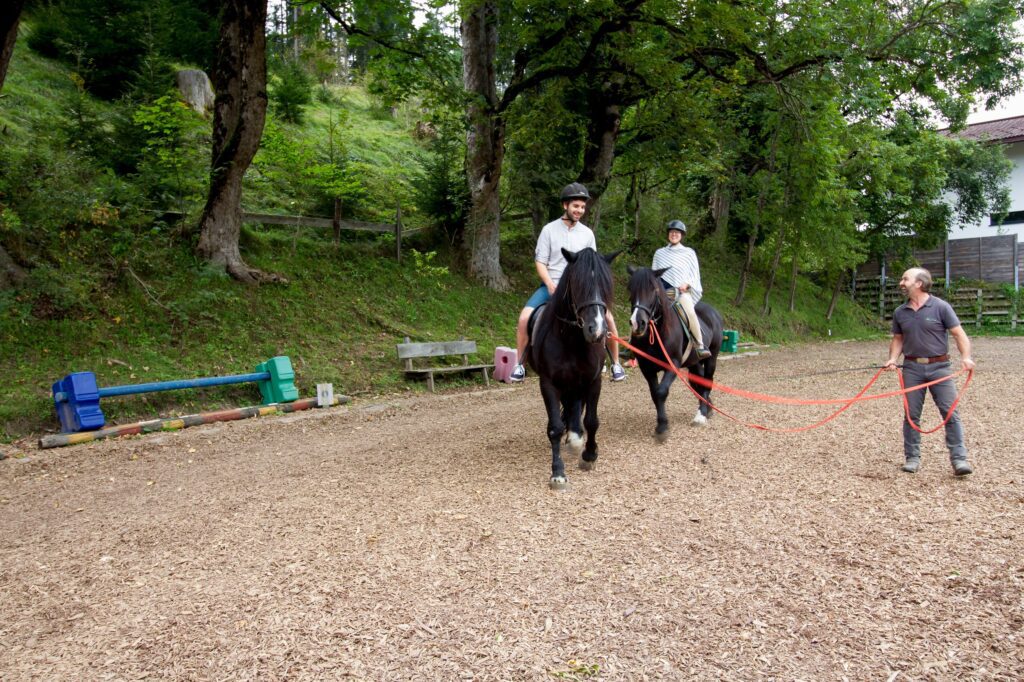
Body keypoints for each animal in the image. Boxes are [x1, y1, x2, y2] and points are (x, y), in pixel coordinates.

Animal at [528, 246, 614, 485]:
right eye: (578, 284)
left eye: (606, 285)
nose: (597, 330)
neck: (571, 339)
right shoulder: (548, 383)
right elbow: (555, 428)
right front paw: (558, 472)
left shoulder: (594, 381)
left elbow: (591, 421)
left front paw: (589, 455)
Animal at [622, 262, 729, 432]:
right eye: (630, 288)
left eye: (653, 289)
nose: (637, 323)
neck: (659, 333)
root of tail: (714, 313)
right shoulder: (647, 367)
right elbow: (655, 394)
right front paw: (661, 424)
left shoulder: (673, 364)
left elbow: (661, 392)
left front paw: (662, 427)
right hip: (694, 363)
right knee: (698, 383)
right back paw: (706, 408)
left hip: (712, 358)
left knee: (707, 381)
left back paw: (701, 415)